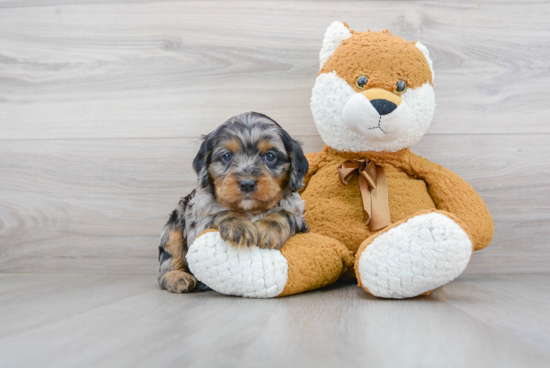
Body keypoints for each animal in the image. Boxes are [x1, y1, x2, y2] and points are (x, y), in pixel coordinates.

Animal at [158, 110, 310, 292]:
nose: (247, 184)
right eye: (227, 156)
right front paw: (238, 226)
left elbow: (284, 212)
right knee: (167, 263)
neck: (250, 210)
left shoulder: (301, 219)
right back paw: (177, 277)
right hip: (172, 230)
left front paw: (270, 227)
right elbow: (221, 212)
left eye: (270, 156)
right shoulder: (199, 224)